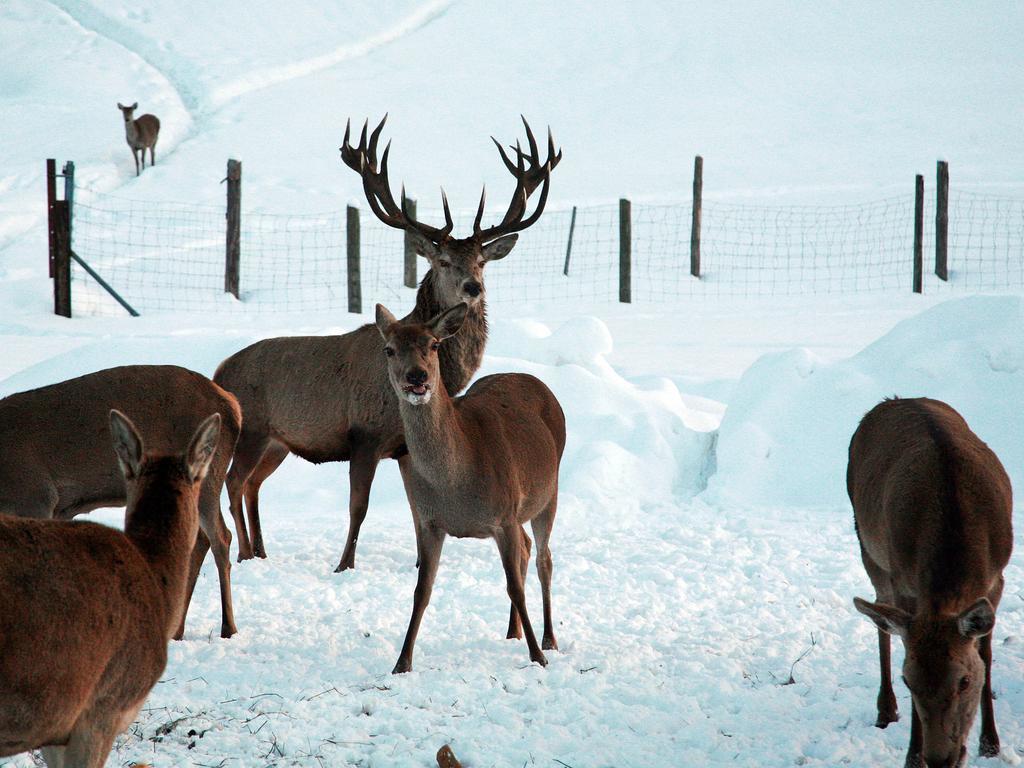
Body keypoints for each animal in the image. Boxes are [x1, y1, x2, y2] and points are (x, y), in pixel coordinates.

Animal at [0, 364, 242, 638]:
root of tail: (233, 406)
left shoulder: (35, 497)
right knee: (201, 539)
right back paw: (177, 629)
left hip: (208, 475)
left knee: (221, 537)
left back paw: (228, 627)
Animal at [216, 114, 565, 573]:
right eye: (442, 261)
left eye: (482, 261)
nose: (473, 288)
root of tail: (219, 371)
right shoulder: (363, 435)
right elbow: (358, 507)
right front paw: (344, 565)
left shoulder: (402, 449)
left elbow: (415, 508)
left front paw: (420, 562)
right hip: (252, 428)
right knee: (234, 481)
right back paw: (244, 552)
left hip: (278, 442)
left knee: (253, 483)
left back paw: (259, 549)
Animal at [376, 303, 569, 671]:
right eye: (389, 349)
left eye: (434, 344)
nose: (417, 377)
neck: (454, 483)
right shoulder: (429, 522)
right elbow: (421, 591)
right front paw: (401, 663)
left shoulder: (503, 515)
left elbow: (514, 586)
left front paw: (537, 658)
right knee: (527, 549)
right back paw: (512, 631)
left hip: (547, 492)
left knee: (544, 559)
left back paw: (549, 639)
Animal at [847, 397, 1007, 768]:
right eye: (908, 680)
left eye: (964, 680)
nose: (939, 759)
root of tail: (893, 400)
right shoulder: (905, 582)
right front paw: (911, 755)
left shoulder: (997, 579)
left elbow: (986, 653)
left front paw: (991, 743)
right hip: (868, 546)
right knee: (881, 621)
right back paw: (885, 710)